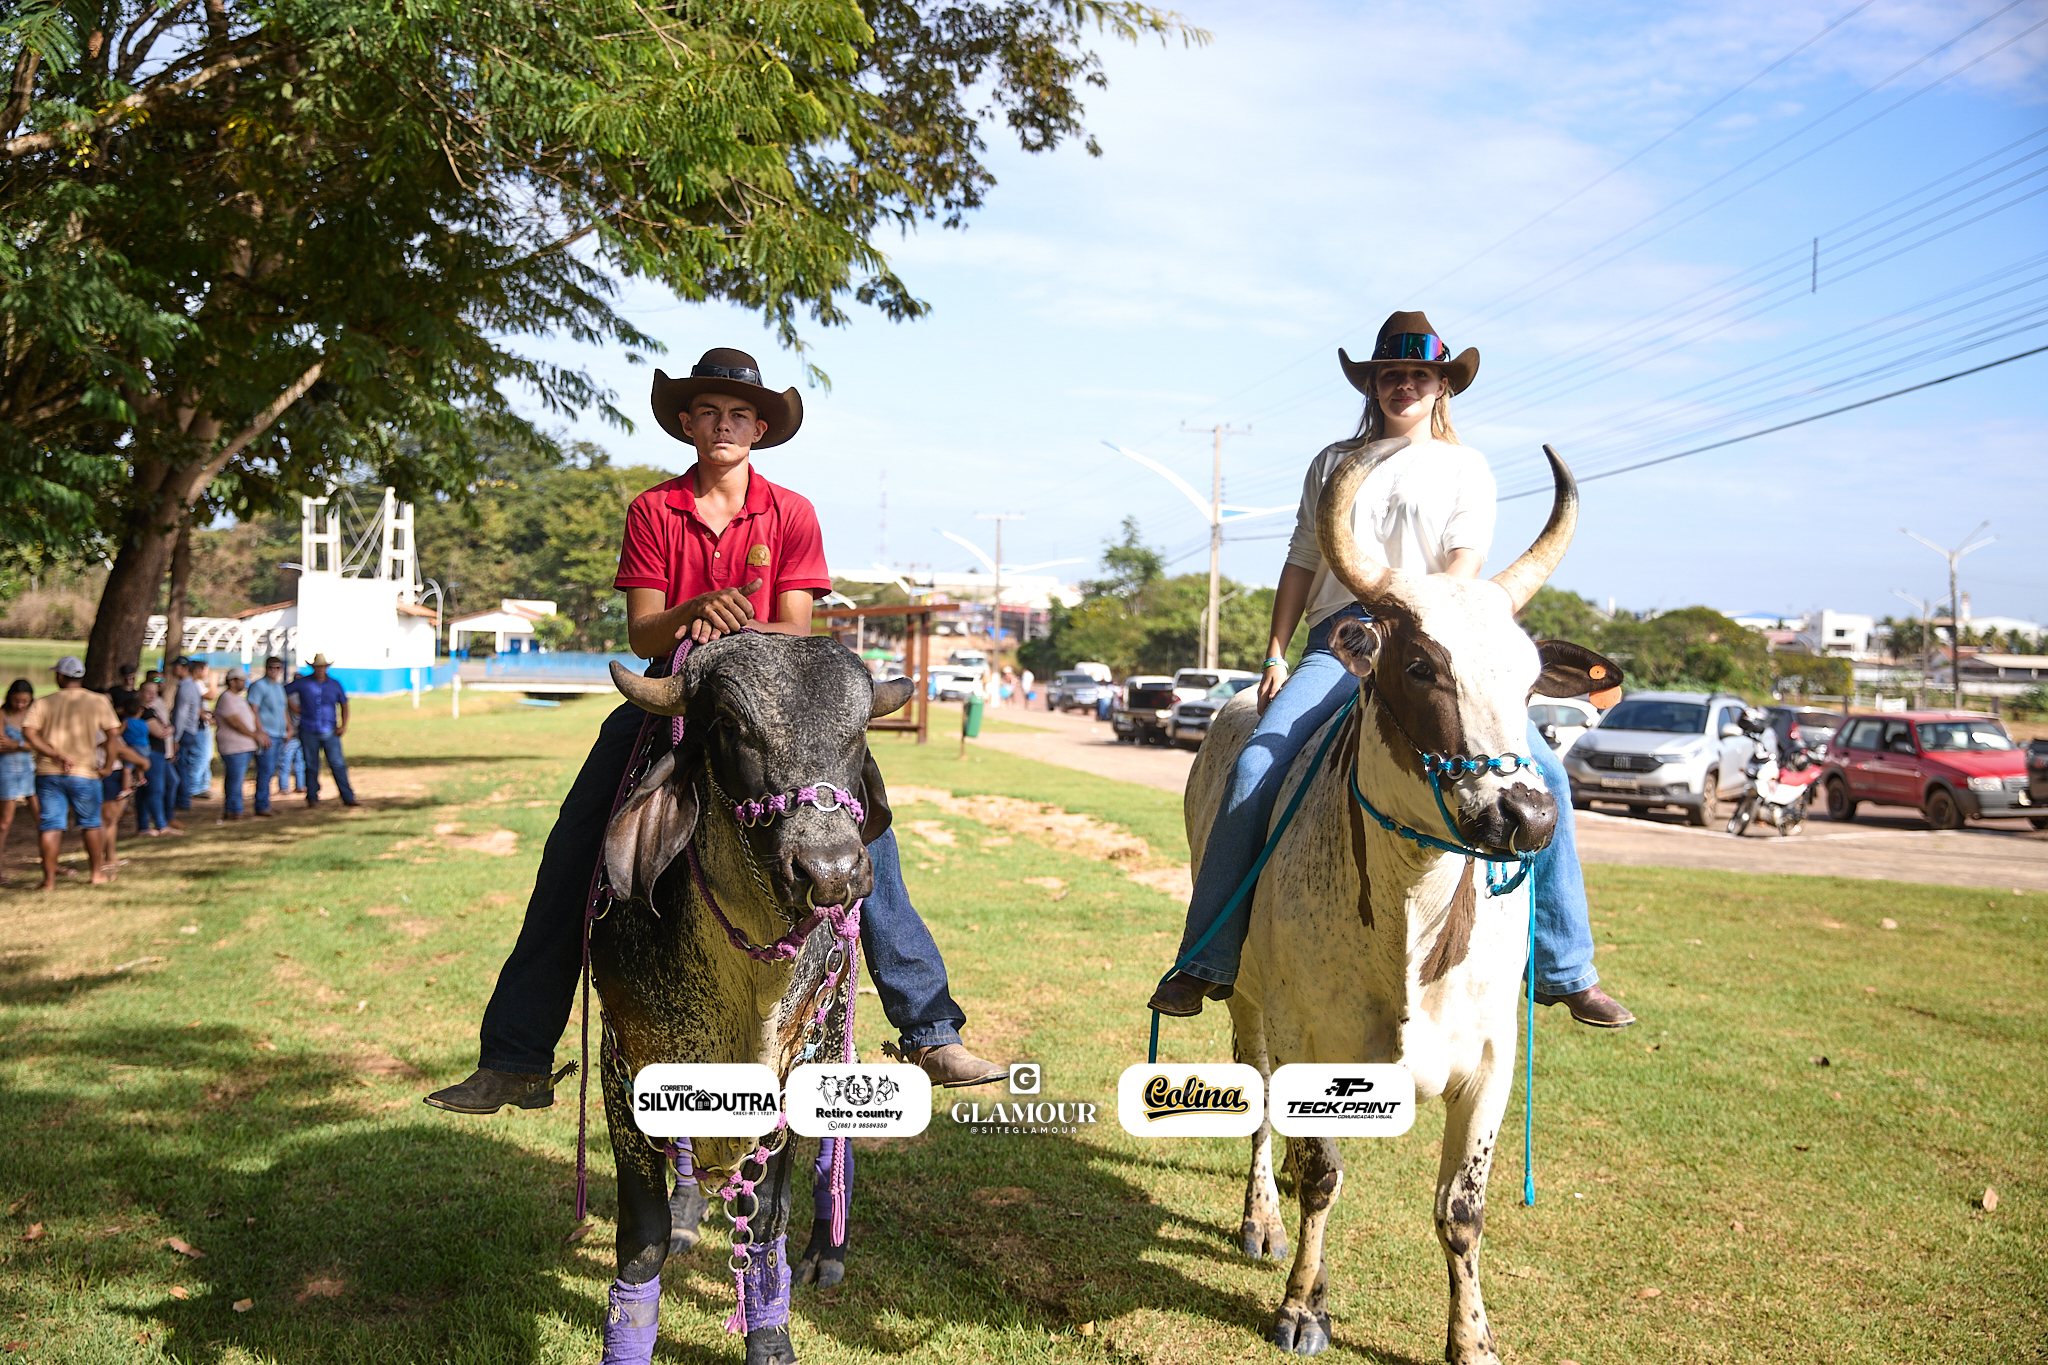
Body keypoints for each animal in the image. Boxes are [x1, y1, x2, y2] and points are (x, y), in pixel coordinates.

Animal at [594, 632, 913, 1365]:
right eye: (730, 727)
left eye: (859, 730)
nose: (831, 871)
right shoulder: (623, 1061)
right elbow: (643, 1238)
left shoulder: (792, 1068)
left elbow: (767, 1221)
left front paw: (771, 1340)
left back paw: (828, 1250)